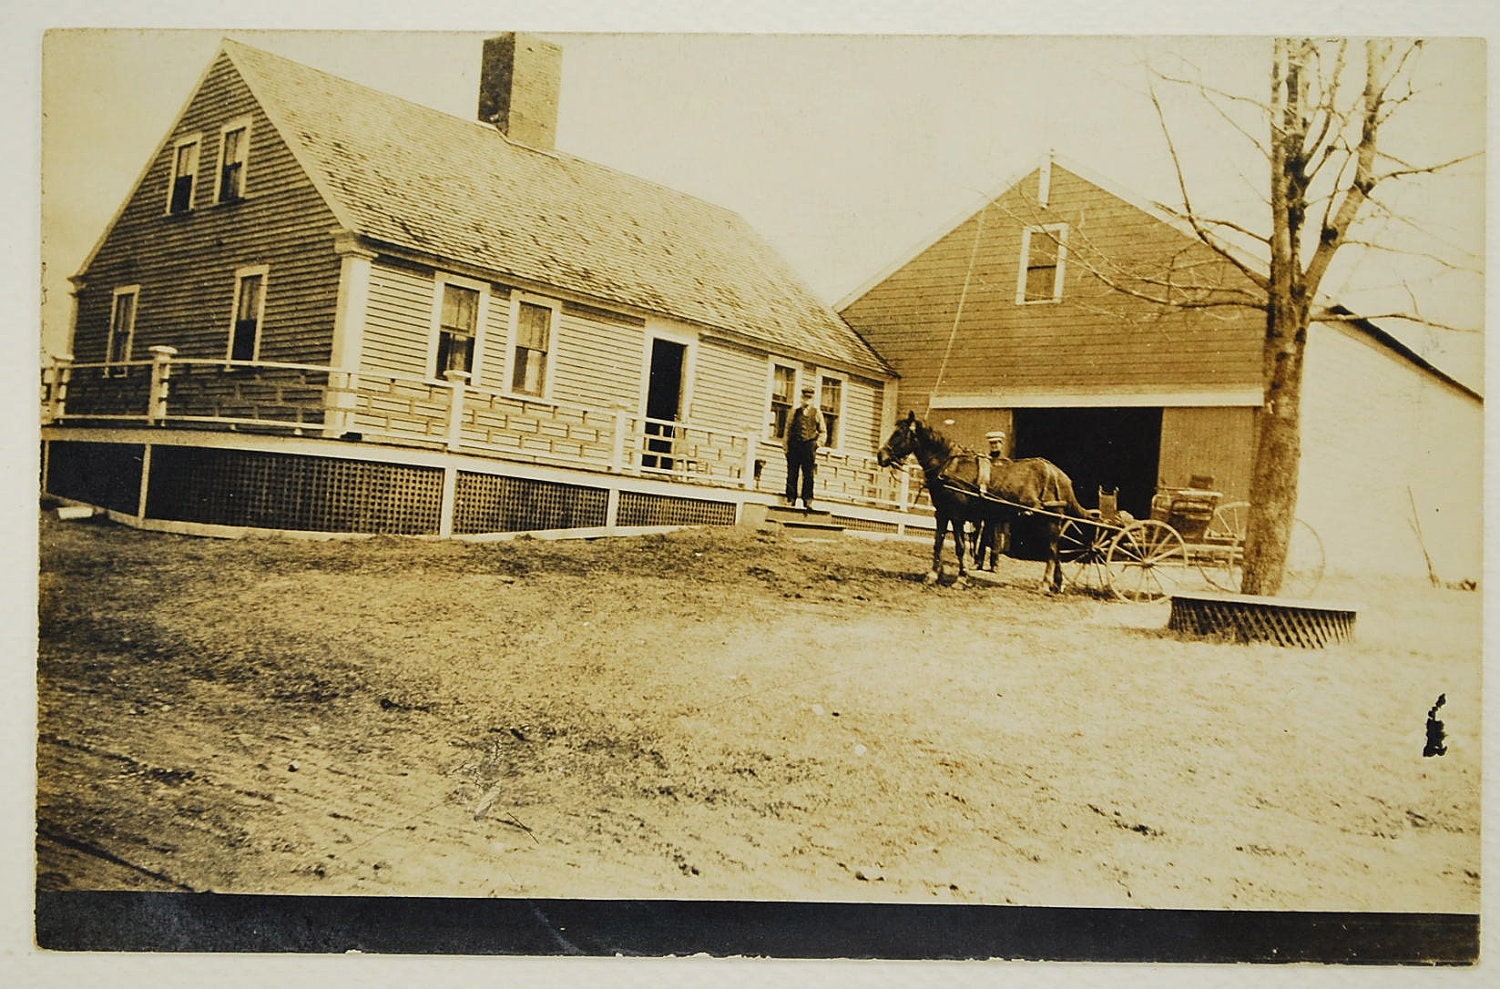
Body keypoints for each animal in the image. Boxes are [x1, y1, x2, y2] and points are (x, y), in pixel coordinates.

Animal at [876, 411, 1086, 588]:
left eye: (899, 433)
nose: (880, 456)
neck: (949, 465)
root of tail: (1061, 475)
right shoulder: (942, 513)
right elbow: (937, 543)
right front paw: (933, 574)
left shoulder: (957, 516)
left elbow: (960, 547)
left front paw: (961, 578)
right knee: (1056, 550)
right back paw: (1058, 584)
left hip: (1048, 519)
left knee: (1051, 550)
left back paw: (1045, 584)